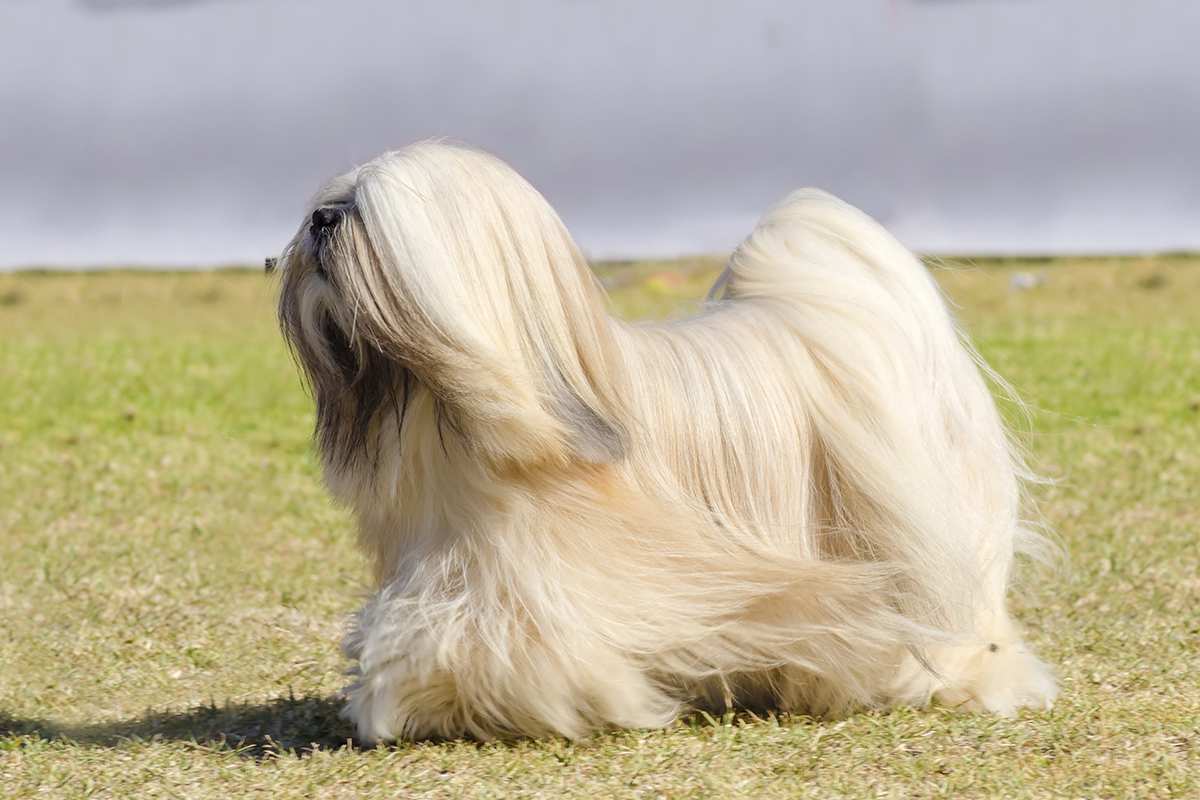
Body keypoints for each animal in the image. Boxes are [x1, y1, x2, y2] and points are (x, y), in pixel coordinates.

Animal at [274, 139, 1060, 743]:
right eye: (332, 200)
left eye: (365, 212)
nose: (317, 219)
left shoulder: (535, 581)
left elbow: (468, 642)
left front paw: (411, 699)